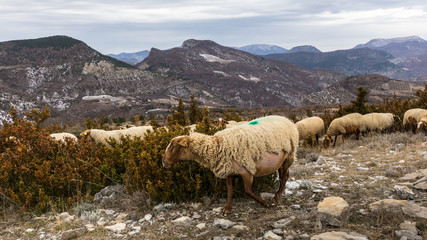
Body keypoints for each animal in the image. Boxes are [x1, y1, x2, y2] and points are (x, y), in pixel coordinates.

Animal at [162, 115, 300, 215]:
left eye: (174, 146)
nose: (163, 161)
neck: (218, 146)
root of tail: (285, 118)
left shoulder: (247, 171)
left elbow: (247, 191)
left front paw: (264, 203)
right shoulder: (228, 170)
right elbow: (229, 189)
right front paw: (227, 209)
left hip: (289, 154)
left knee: (284, 177)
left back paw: (276, 198)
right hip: (281, 160)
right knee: (284, 176)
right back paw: (279, 194)